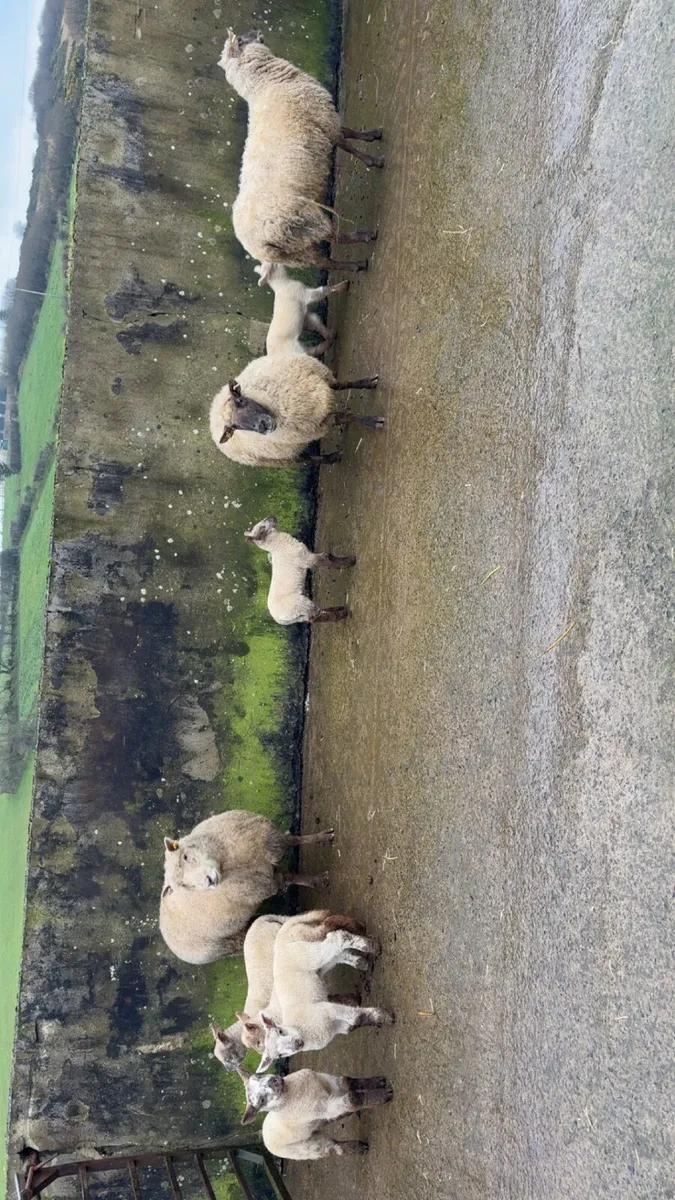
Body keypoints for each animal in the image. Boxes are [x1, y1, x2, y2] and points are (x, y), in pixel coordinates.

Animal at [159, 812, 334, 964]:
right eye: (185, 885)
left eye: (185, 857)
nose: (209, 881)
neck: (230, 865)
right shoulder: (265, 885)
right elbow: (290, 877)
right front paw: (318, 881)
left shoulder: (270, 839)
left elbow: (293, 840)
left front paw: (323, 836)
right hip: (229, 942)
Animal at [209, 353, 383, 468]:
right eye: (235, 427)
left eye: (240, 401)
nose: (263, 426)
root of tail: (212, 413)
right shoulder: (318, 424)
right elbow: (346, 416)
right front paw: (374, 421)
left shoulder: (322, 377)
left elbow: (344, 384)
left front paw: (369, 382)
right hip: (281, 457)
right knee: (309, 459)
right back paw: (332, 458)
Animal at [218, 29, 383, 272]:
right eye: (240, 39)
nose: (257, 30)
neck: (266, 85)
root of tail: (260, 246)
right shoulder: (323, 118)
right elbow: (348, 142)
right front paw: (373, 159)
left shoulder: (323, 118)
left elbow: (349, 134)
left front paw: (373, 137)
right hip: (305, 222)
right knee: (334, 236)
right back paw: (365, 239)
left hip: (295, 251)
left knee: (324, 260)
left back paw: (353, 266)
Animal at [237, 1067, 393, 1160]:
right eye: (261, 1100)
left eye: (258, 1075)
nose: (274, 1081)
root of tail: (263, 1137)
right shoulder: (321, 1107)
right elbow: (352, 1098)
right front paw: (383, 1095)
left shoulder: (327, 1083)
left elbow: (348, 1082)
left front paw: (378, 1082)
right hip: (302, 1148)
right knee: (331, 1148)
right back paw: (357, 1148)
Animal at [255, 910, 394, 1072]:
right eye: (280, 1055)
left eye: (280, 1031)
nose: (297, 1044)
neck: (305, 1030)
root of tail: (284, 929)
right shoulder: (335, 1026)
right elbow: (355, 1023)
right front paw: (379, 1018)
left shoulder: (325, 1009)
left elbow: (355, 1017)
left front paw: (385, 1016)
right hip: (317, 961)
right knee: (336, 950)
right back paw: (363, 959)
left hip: (305, 952)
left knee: (336, 937)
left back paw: (371, 946)